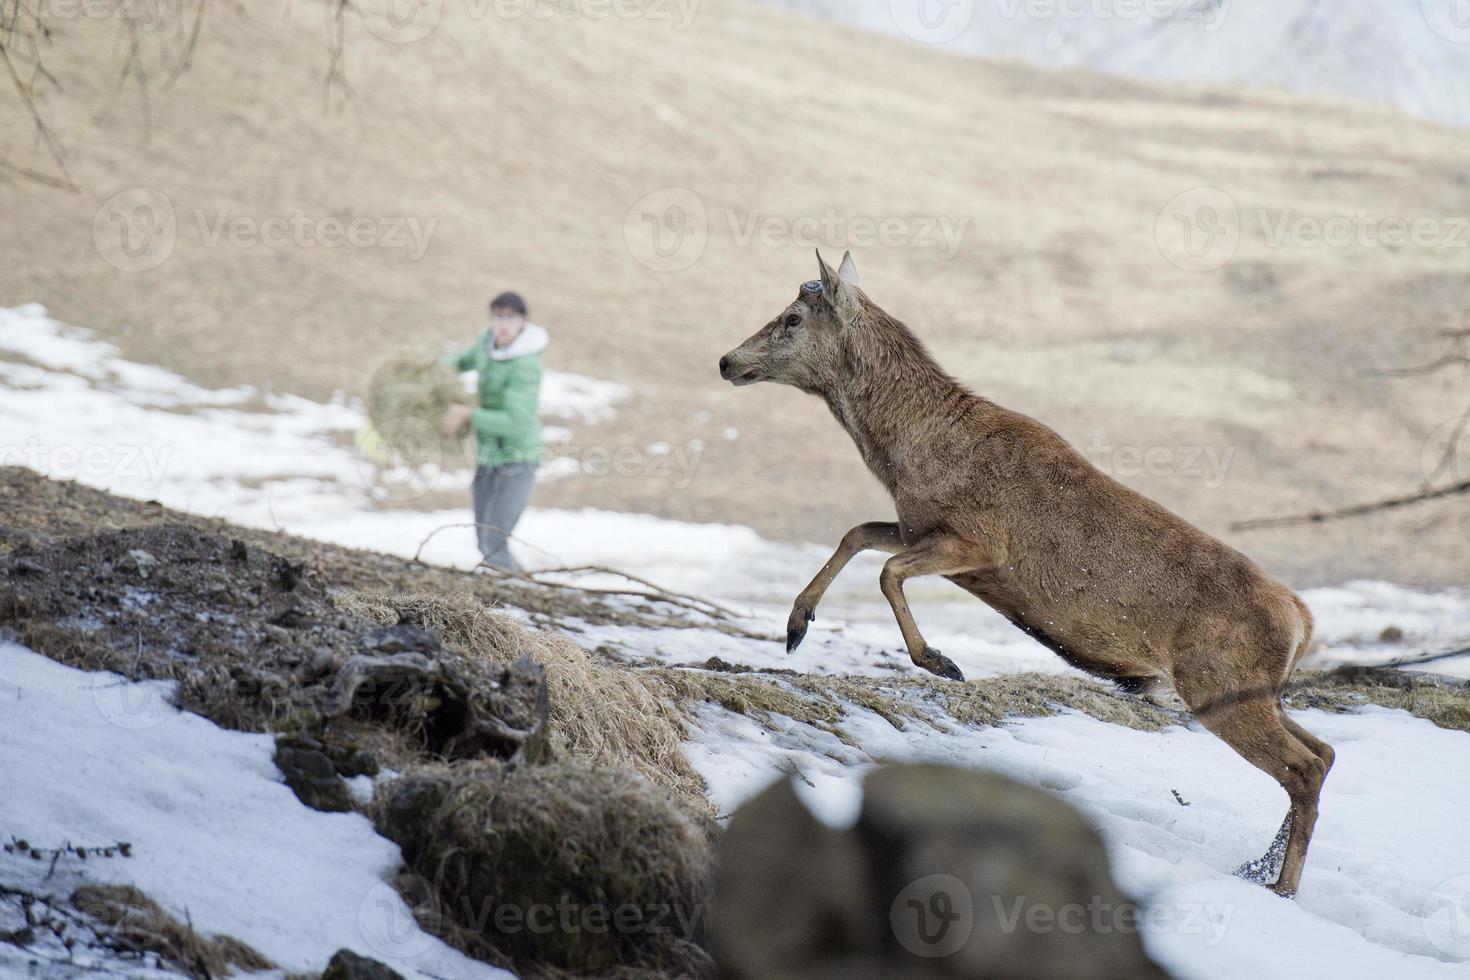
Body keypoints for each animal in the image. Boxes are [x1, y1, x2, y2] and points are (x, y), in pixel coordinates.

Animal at [717, 251, 1340, 899]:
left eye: (792, 317)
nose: (727, 361)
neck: (910, 456)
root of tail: (1303, 621)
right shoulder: (917, 527)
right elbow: (856, 533)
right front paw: (797, 624)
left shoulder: (982, 541)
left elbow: (888, 571)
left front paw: (940, 662)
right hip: (1257, 691)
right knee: (1323, 752)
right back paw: (1261, 866)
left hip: (1217, 685)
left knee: (1302, 767)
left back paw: (1281, 885)